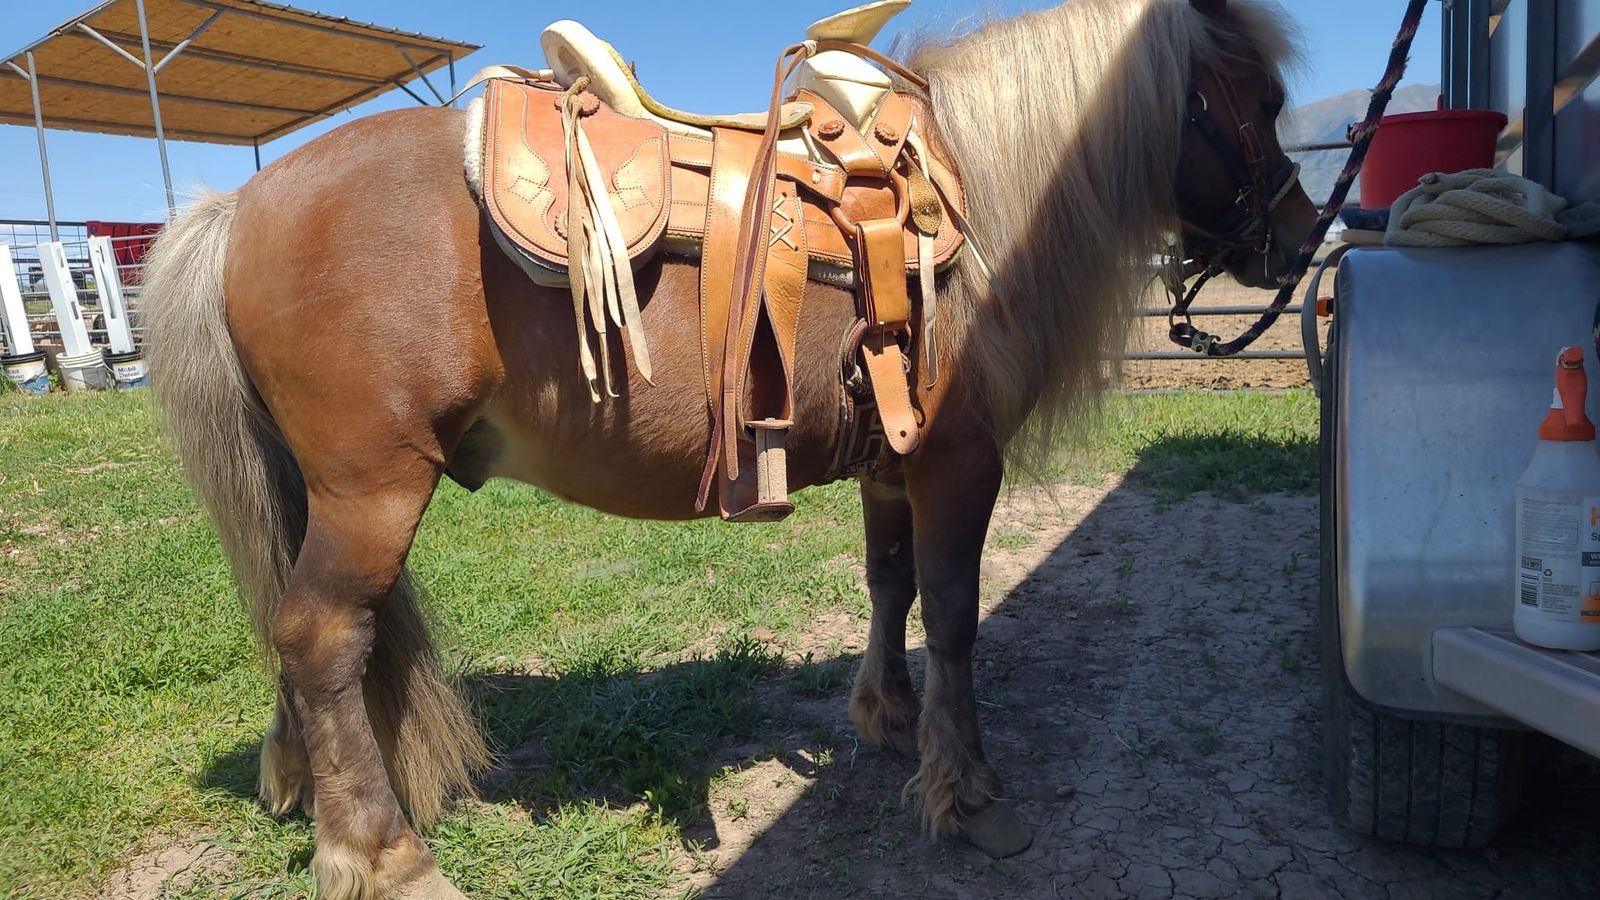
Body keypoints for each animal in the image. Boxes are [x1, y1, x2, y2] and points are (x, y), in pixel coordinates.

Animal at [142, 0, 1312, 895]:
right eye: (1258, 101)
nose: (1300, 238)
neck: (967, 203)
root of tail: (240, 201)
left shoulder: (890, 466)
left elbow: (889, 586)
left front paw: (886, 717)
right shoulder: (956, 463)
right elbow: (955, 615)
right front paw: (968, 792)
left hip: (319, 492)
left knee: (288, 622)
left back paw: (296, 779)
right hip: (373, 486)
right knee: (322, 637)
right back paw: (381, 853)